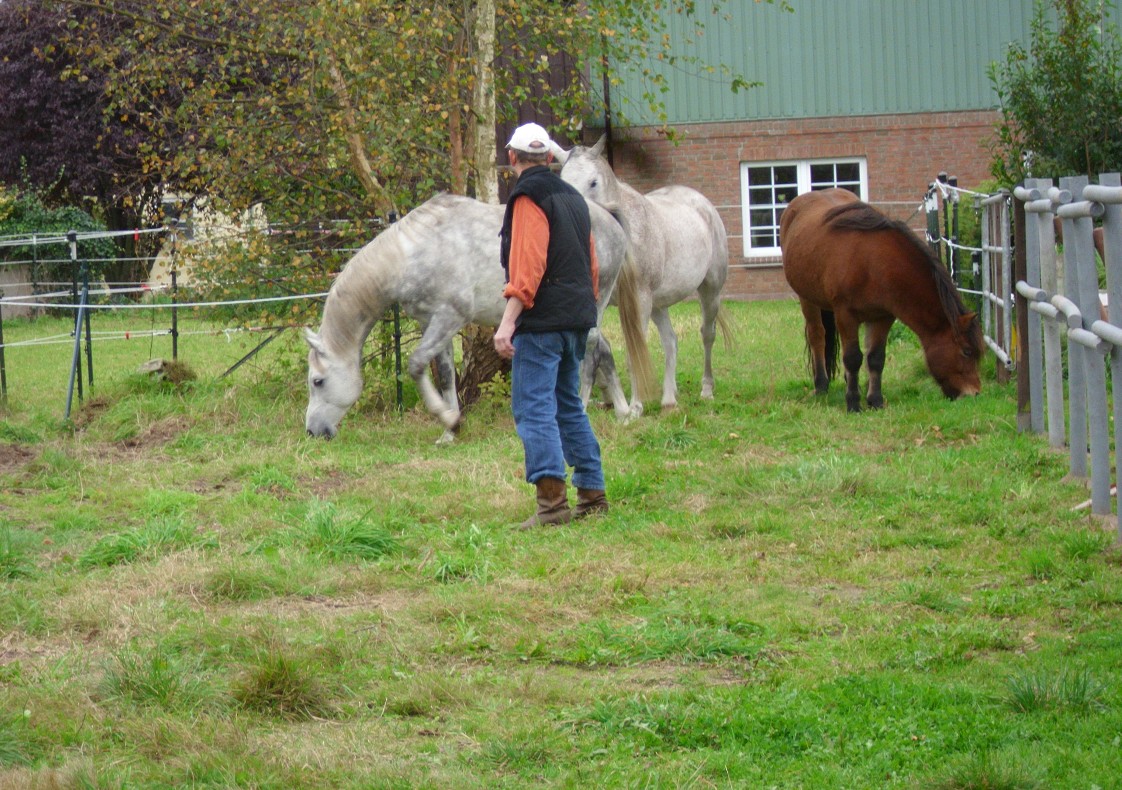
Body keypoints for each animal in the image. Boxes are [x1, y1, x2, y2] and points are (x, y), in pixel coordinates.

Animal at [302, 188, 650, 442]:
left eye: (318, 381)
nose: (312, 431)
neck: (413, 254)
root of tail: (608, 216)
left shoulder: (450, 318)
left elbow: (416, 365)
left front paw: (448, 419)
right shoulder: (433, 324)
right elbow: (444, 374)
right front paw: (450, 430)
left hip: (590, 309)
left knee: (590, 353)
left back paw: (587, 406)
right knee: (603, 349)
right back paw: (623, 411)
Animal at [554, 134, 731, 412]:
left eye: (593, 182)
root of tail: (703, 205)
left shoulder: (639, 300)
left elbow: (633, 353)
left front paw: (635, 407)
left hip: (709, 291)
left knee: (707, 334)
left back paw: (706, 389)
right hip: (658, 304)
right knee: (671, 341)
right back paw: (668, 399)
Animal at [780, 189, 982, 412]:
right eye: (966, 351)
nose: (974, 394)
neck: (873, 264)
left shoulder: (882, 317)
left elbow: (875, 358)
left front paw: (875, 400)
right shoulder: (846, 315)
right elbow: (853, 357)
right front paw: (853, 403)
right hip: (807, 299)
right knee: (817, 336)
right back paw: (821, 385)